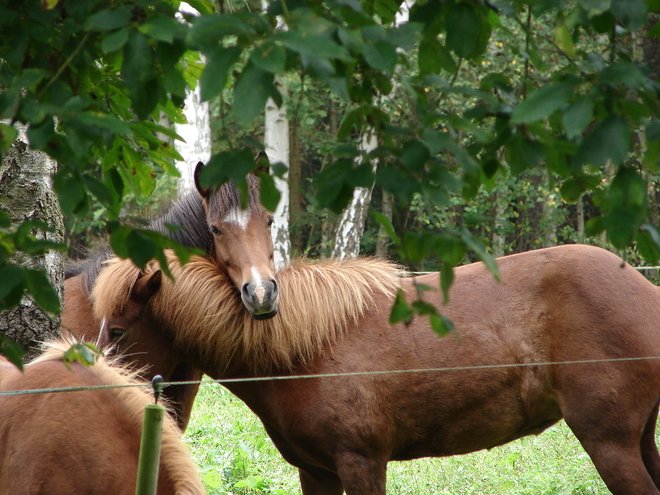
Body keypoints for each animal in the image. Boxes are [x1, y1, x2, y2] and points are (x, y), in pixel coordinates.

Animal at [93, 245, 660, 495]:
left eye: (116, 331)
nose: (95, 382)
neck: (303, 349)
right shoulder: (317, 471)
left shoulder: (361, 463)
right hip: (639, 441)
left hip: (609, 442)